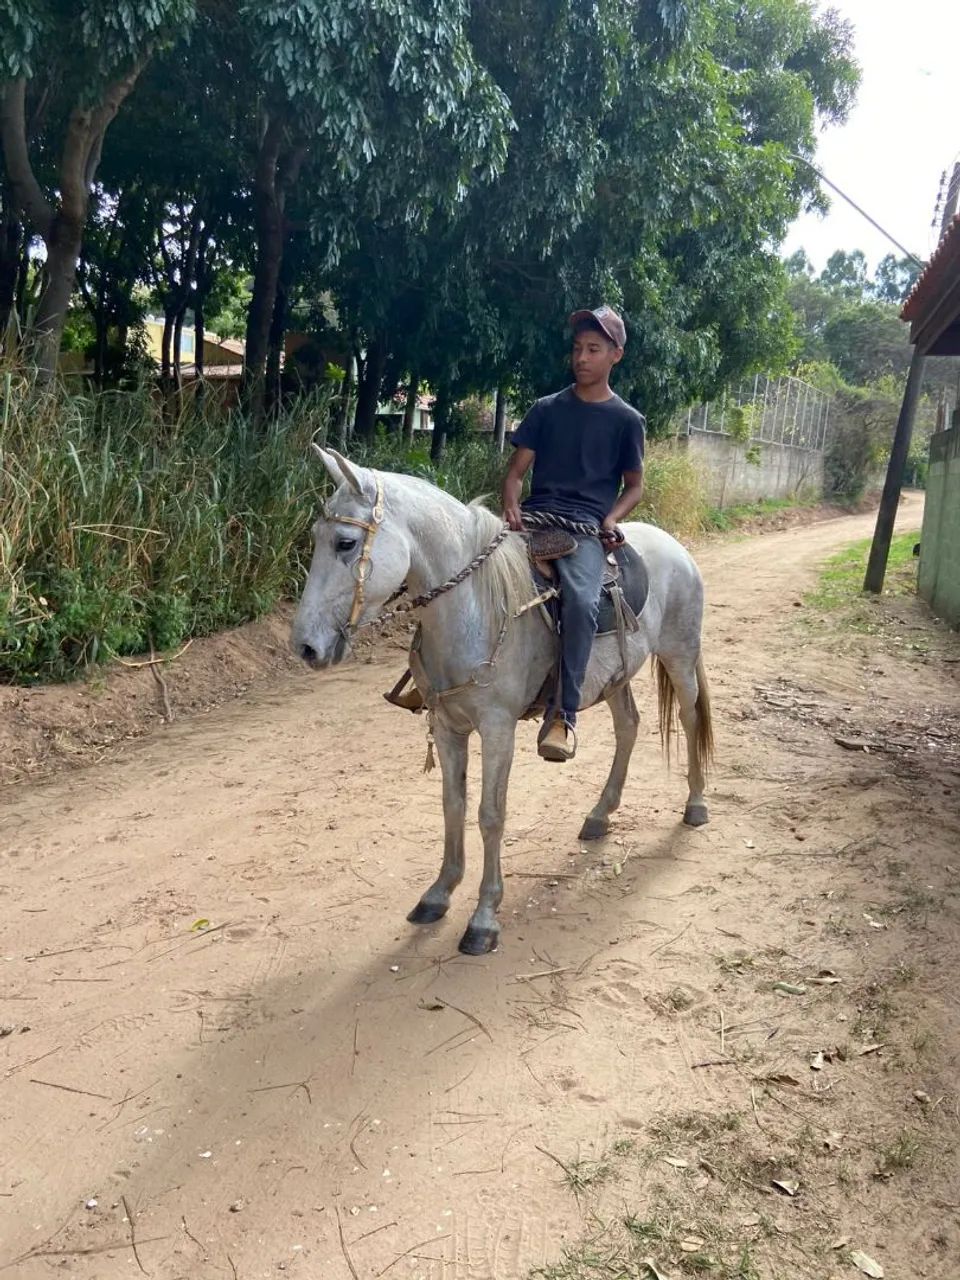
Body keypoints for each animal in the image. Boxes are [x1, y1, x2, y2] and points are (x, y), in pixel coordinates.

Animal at [292, 447, 713, 956]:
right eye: (317, 538)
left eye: (346, 543)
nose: (305, 646)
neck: (475, 609)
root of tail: (677, 549)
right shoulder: (447, 726)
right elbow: (453, 805)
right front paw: (438, 894)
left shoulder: (497, 728)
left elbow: (490, 814)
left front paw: (484, 918)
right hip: (615, 677)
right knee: (628, 725)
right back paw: (599, 815)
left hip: (680, 654)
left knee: (690, 718)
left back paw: (695, 805)